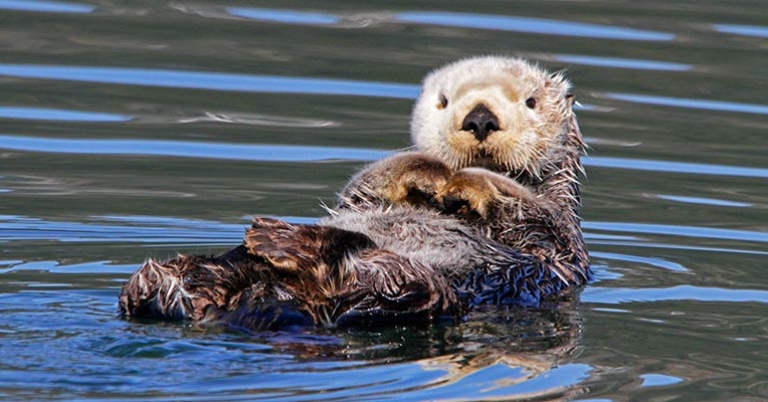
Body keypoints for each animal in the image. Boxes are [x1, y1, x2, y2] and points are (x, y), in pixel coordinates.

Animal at [119, 56, 590, 330]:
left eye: (530, 102)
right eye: (443, 101)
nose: (479, 118)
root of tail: (262, 300)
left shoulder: (559, 242)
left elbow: (531, 212)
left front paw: (467, 183)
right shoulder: (359, 198)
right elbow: (363, 185)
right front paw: (427, 171)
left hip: (409, 287)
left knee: (359, 267)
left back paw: (281, 238)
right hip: (192, 273)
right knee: (151, 286)